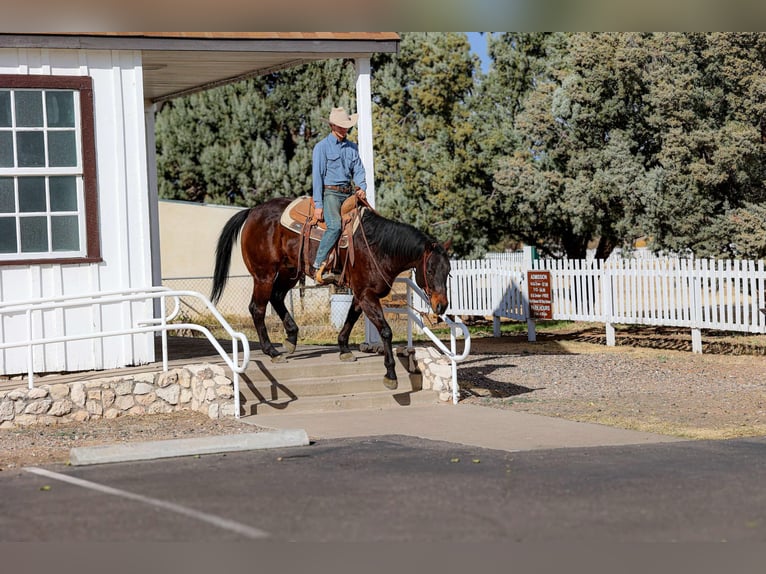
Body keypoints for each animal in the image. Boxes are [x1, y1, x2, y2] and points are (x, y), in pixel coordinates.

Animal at [210, 198, 452, 392]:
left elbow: (351, 318)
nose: (441, 306)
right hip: (264, 275)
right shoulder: (367, 295)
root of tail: (252, 211)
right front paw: (390, 374)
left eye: (448, 270)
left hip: (289, 271)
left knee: (277, 297)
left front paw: (343, 348)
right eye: (430, 270)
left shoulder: (361, 294)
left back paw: (291, 337)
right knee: (257, 308)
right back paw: (272, 351)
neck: (377, 247)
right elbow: (385, 331)